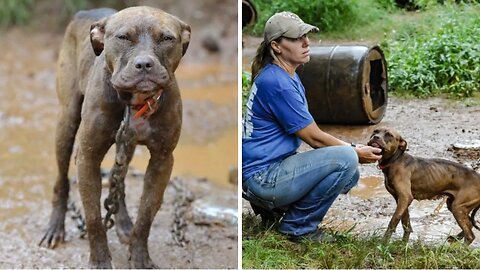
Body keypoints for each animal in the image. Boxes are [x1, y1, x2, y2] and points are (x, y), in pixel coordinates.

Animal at [38, 6, 191, 268]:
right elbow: (93, 218)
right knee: (62, 181)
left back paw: (124, 223)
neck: (134, 101)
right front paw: (99, 261)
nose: (144, 64)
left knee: (118, 182)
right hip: (66, 122)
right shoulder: (88, 157)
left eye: (167, 38)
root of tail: (87, 10)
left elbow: (146, 215)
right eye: (123, 37)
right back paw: (55, 228)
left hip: (126, 145)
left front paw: (139, 257)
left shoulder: (162, 161)